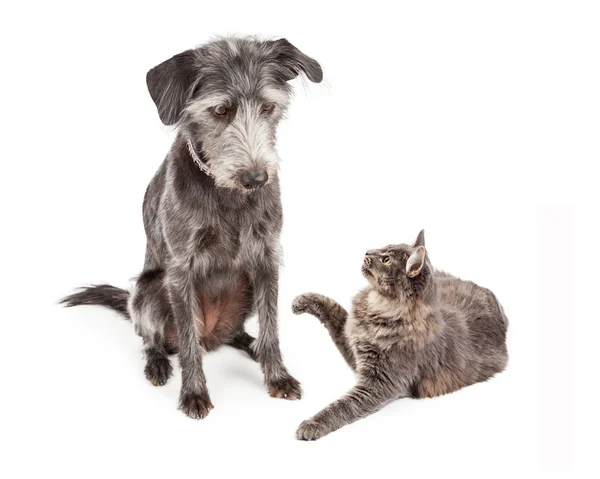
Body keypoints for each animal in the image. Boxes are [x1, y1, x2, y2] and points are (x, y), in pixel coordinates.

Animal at [59, 36, 324, 420]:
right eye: (220, 110)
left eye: (268, 107)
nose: (257, 178)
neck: (228, 194)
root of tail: (212, 337)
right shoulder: (180, 272)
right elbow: (187, 341)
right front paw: (194, 392)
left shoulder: (267, 259)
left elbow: (271, 325)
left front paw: (277, 375)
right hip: (148, 292)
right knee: (153, 339)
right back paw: (157, 363)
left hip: (245, 286)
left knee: (237, 333)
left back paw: (252, 346)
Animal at [292, 231, 508, 440]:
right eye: (384, 247)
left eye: (386, 260)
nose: (367, 252)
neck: (381, 307)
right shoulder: (351, 343)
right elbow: (332, 308)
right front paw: (300, 301)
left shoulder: (377, 384)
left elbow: (341, 407)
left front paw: (311, 425)